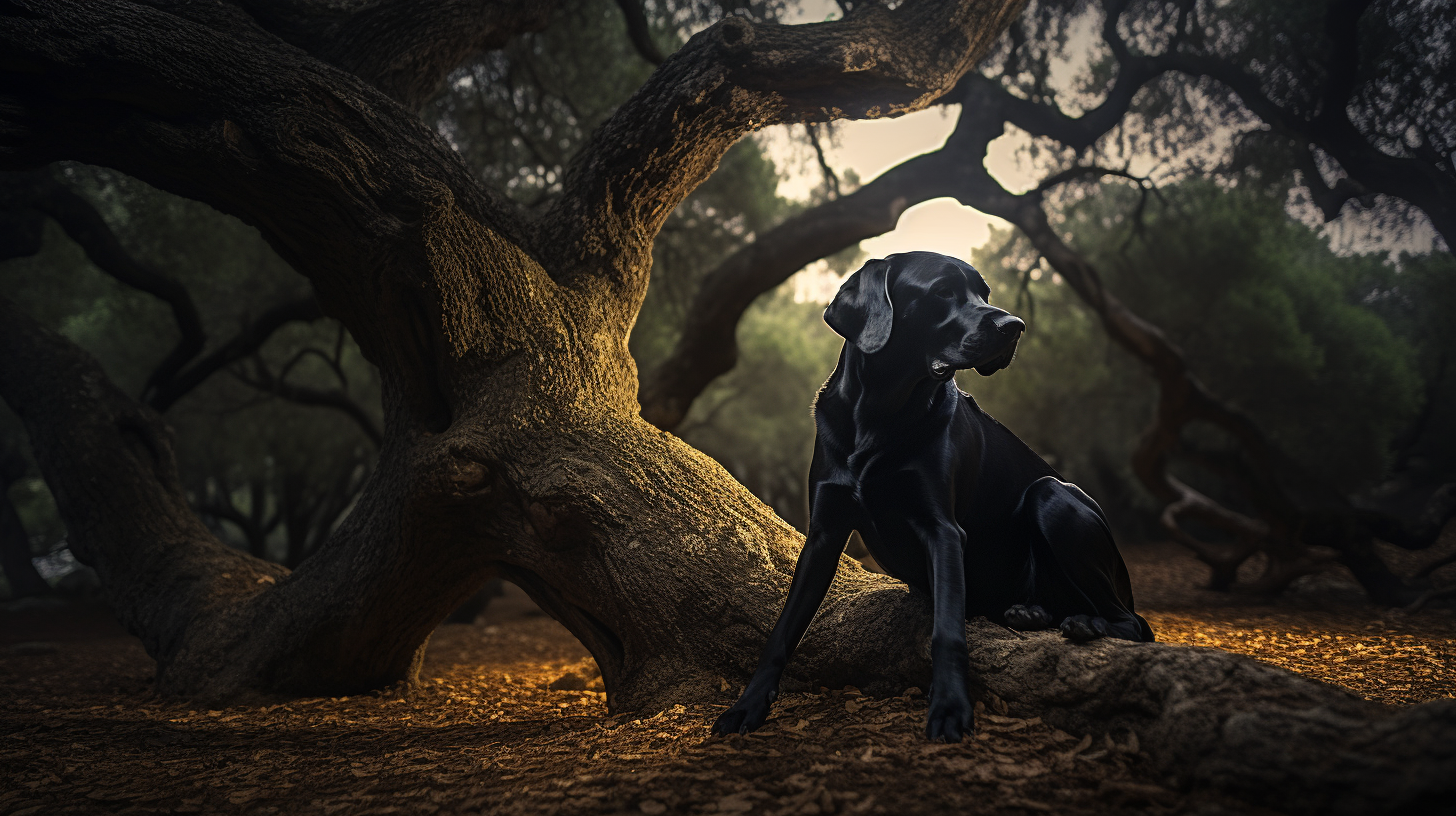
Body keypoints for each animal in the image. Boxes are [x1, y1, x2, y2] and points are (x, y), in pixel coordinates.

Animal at [710, 252, 1153, 743]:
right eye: (942, 291)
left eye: (984, 293)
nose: (1015, 326)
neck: (880, 411)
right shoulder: (824, 532)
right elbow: (783, 628)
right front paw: (747, 706)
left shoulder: (942, 531)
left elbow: (948, 630)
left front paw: (950, 708)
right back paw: (1030, 614)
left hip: (1053, 495)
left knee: (1133, 622)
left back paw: (1086, 622)